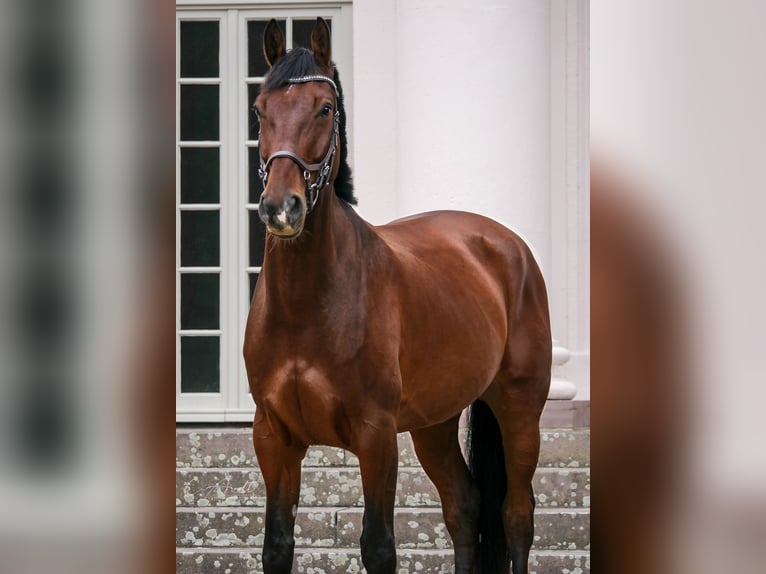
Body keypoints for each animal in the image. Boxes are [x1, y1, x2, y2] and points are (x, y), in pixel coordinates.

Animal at [246, 18, 552, 574]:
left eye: (325, 107)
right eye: (260, 109)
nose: (281, 208)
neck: (306, 308)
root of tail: (506, 244)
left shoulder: (376, 435)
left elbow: (378, 546)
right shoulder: (273, 436)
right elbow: (277, 546)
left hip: (520, 409)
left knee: (517, 514)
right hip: (435, 424)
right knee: (464, 507)